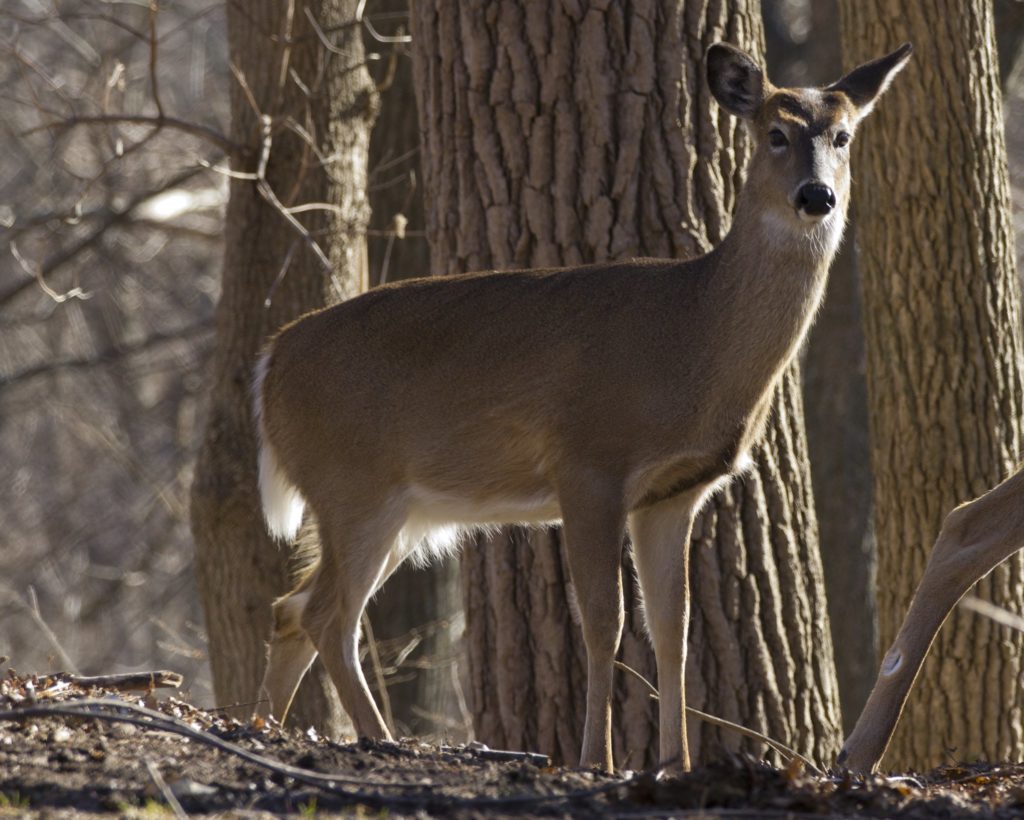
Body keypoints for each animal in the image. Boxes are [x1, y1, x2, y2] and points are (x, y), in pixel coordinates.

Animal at [253, 41, 913, 769]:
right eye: (775, 133)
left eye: (842, 135)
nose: (816, 195)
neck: (695, 337)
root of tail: (269, 363)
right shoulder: (590, 461)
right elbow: (605, 623)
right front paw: (597, 757)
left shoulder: (673, 493)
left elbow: (673, 630)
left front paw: (675, 762)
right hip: (352, 483)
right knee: (327, 614)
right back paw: (381, 737)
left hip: (400, 508)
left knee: (291, 607)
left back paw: (264, 727)